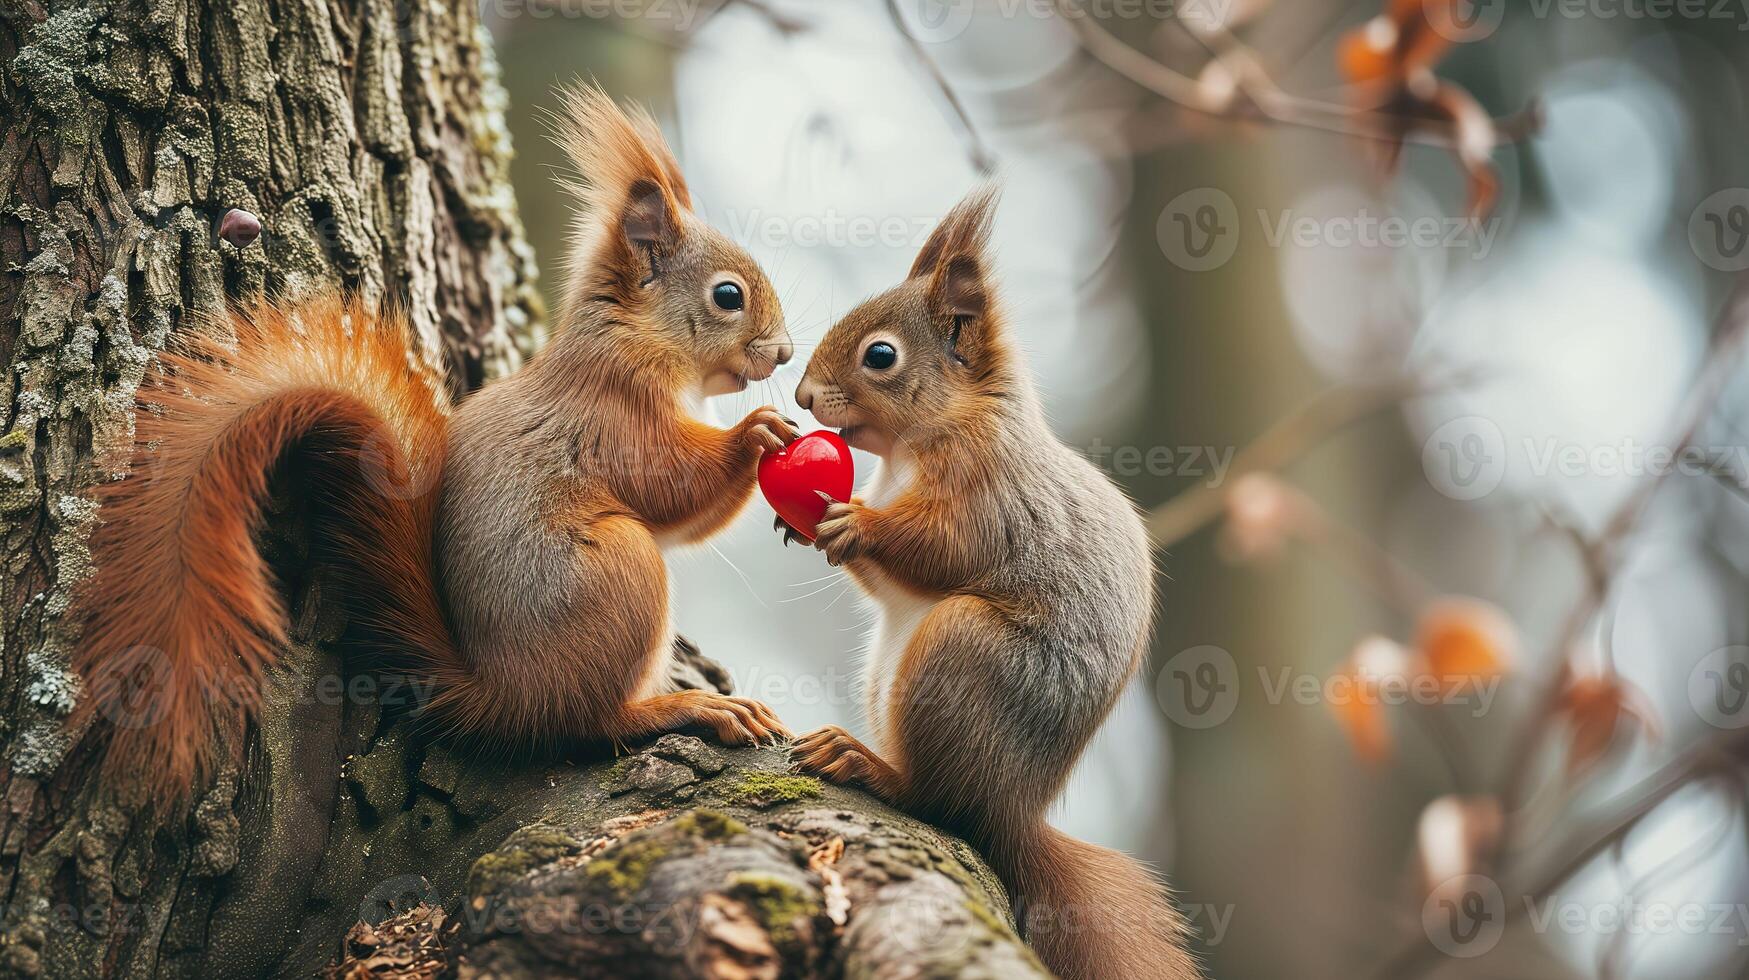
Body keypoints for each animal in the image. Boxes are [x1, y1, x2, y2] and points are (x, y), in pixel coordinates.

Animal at [75, 86, 801, 805]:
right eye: (727, 295)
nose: (786, 354)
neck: (636, 339)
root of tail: (503, 696)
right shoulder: (613, 415)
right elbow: (669, 483)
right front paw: (756, 434)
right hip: (621, 570)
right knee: (591, 721)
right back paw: (682, 709)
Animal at [790, 189, 1203, 980]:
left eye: (880, 355)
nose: (800, 396)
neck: (921, 439)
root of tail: (1014, 810)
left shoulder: (991, 491)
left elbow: (944, 549)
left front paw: (856, 523)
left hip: (963, 653)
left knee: (942, 803)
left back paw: (871, 767)